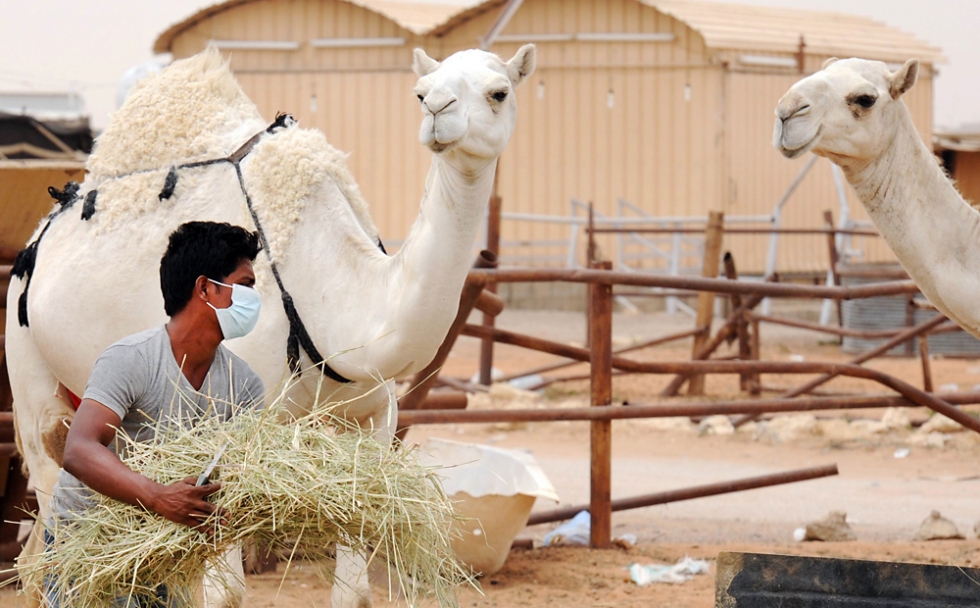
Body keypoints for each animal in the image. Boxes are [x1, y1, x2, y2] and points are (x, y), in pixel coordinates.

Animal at [5, 44, 536, 608]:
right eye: (421, 92)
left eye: (499, 92)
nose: (439, 111)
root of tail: (36, 240)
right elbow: (226, 592)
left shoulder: (371, 420)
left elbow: (355, 592)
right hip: (32, 380)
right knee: (53, 498)